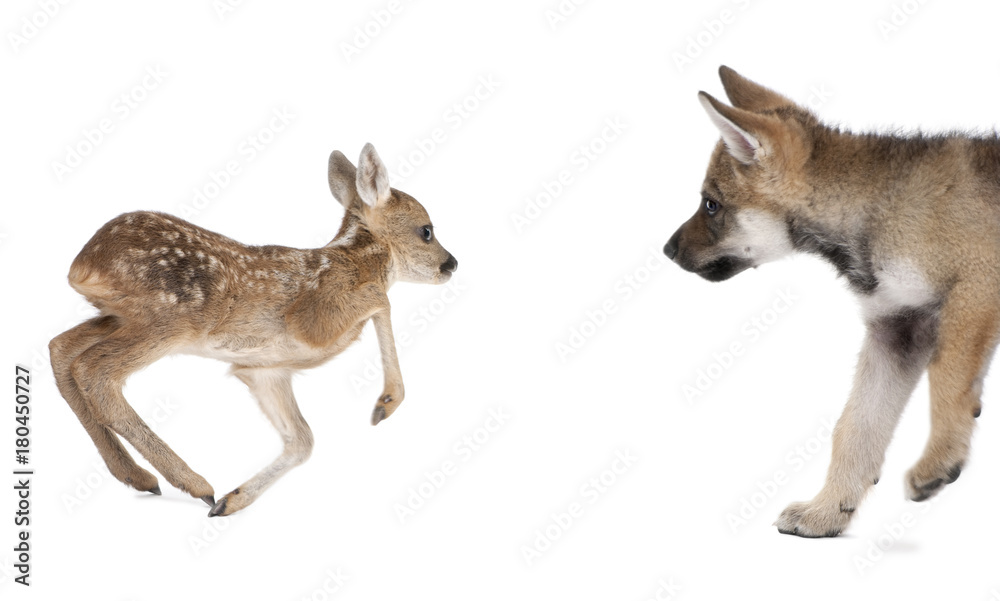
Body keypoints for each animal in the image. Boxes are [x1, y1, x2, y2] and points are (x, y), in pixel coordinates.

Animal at [49, 143, 457, 517]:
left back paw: (142, 478)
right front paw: (386, 403)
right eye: (426, 231)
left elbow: (302, 441)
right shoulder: (314, 321)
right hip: (171, 318)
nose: (451, 264)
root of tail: (83, 263)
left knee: (61, 349)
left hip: (119, 316)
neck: (352, 261)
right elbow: (381, 301)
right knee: (95, 370)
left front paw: (233, 501)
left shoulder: (265, 368)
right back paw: (195, 485)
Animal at [664, 66, 1000, 537]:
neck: (881, 210)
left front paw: (938, 462)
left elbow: (947, 381)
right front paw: (827, 511)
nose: (667, 250)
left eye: (711, 205)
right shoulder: (898, 328)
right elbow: (855, 427)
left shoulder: (975, 289)